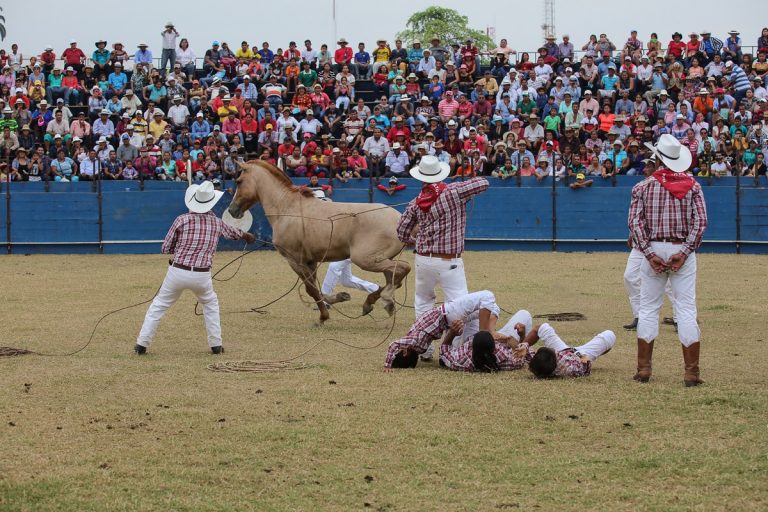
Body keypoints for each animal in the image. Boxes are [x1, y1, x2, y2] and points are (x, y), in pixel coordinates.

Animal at [225, 160, 412, 324]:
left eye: (239, 181)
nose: (232, 210)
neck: (287, 209)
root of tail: (399, 219)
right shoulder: (311, 261)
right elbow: (317, 289)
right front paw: (338, 298)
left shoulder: (295, 260)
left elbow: (311, 289)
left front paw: (323, 317)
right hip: (380, 259)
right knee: (394, 277)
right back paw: (373, 303)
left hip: (366, 259)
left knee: (403, 269)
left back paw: (385, 300)